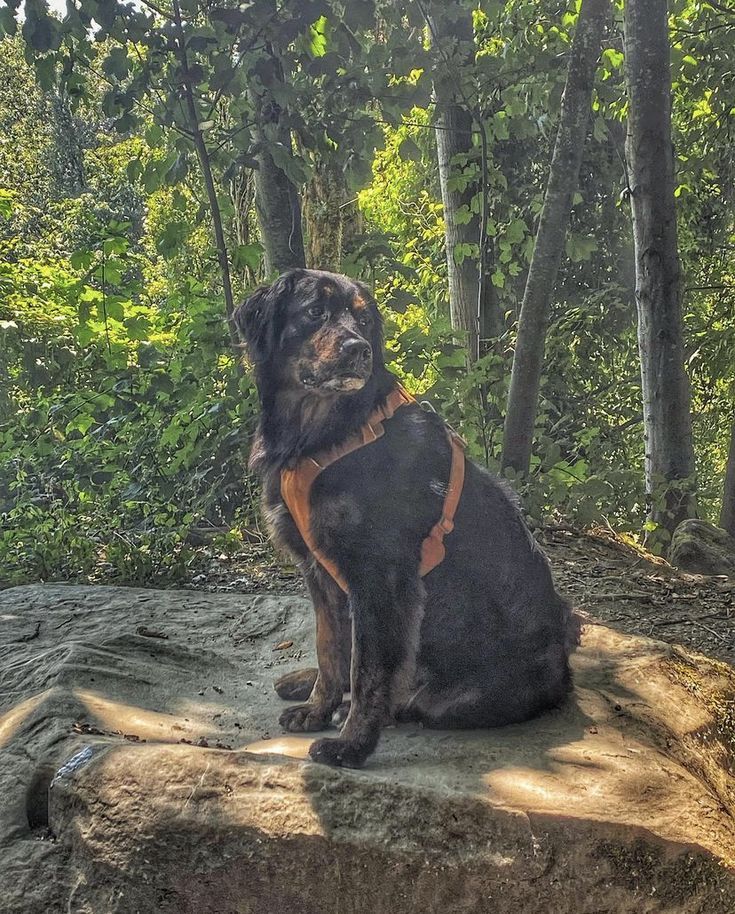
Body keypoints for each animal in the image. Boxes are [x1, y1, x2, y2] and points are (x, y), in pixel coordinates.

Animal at [236, 268, 580, 764]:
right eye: (315, 312)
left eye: (364, 321)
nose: (358, 348)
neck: (322, 433)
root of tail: (563, 678)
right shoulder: (319, 570)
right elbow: (329, 650)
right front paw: (318, 708)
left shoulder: (381, 576)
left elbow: (369, 671)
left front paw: (352, 745)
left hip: (452, 698)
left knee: (409, 696)